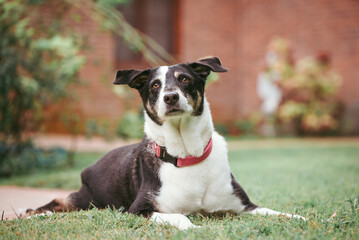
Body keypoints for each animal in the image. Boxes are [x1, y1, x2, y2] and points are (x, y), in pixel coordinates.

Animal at [26, 56, 306, 231]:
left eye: (184, 79)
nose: (170, 97)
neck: (187, 154)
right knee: (59, 201)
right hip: (90, 200)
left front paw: (301, 217)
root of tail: (91, 166)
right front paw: (194, 228)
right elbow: (179, 216)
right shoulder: (137, 211)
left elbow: (274, 212)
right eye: (155, 85)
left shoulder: (244, 207)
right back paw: (38, 213)